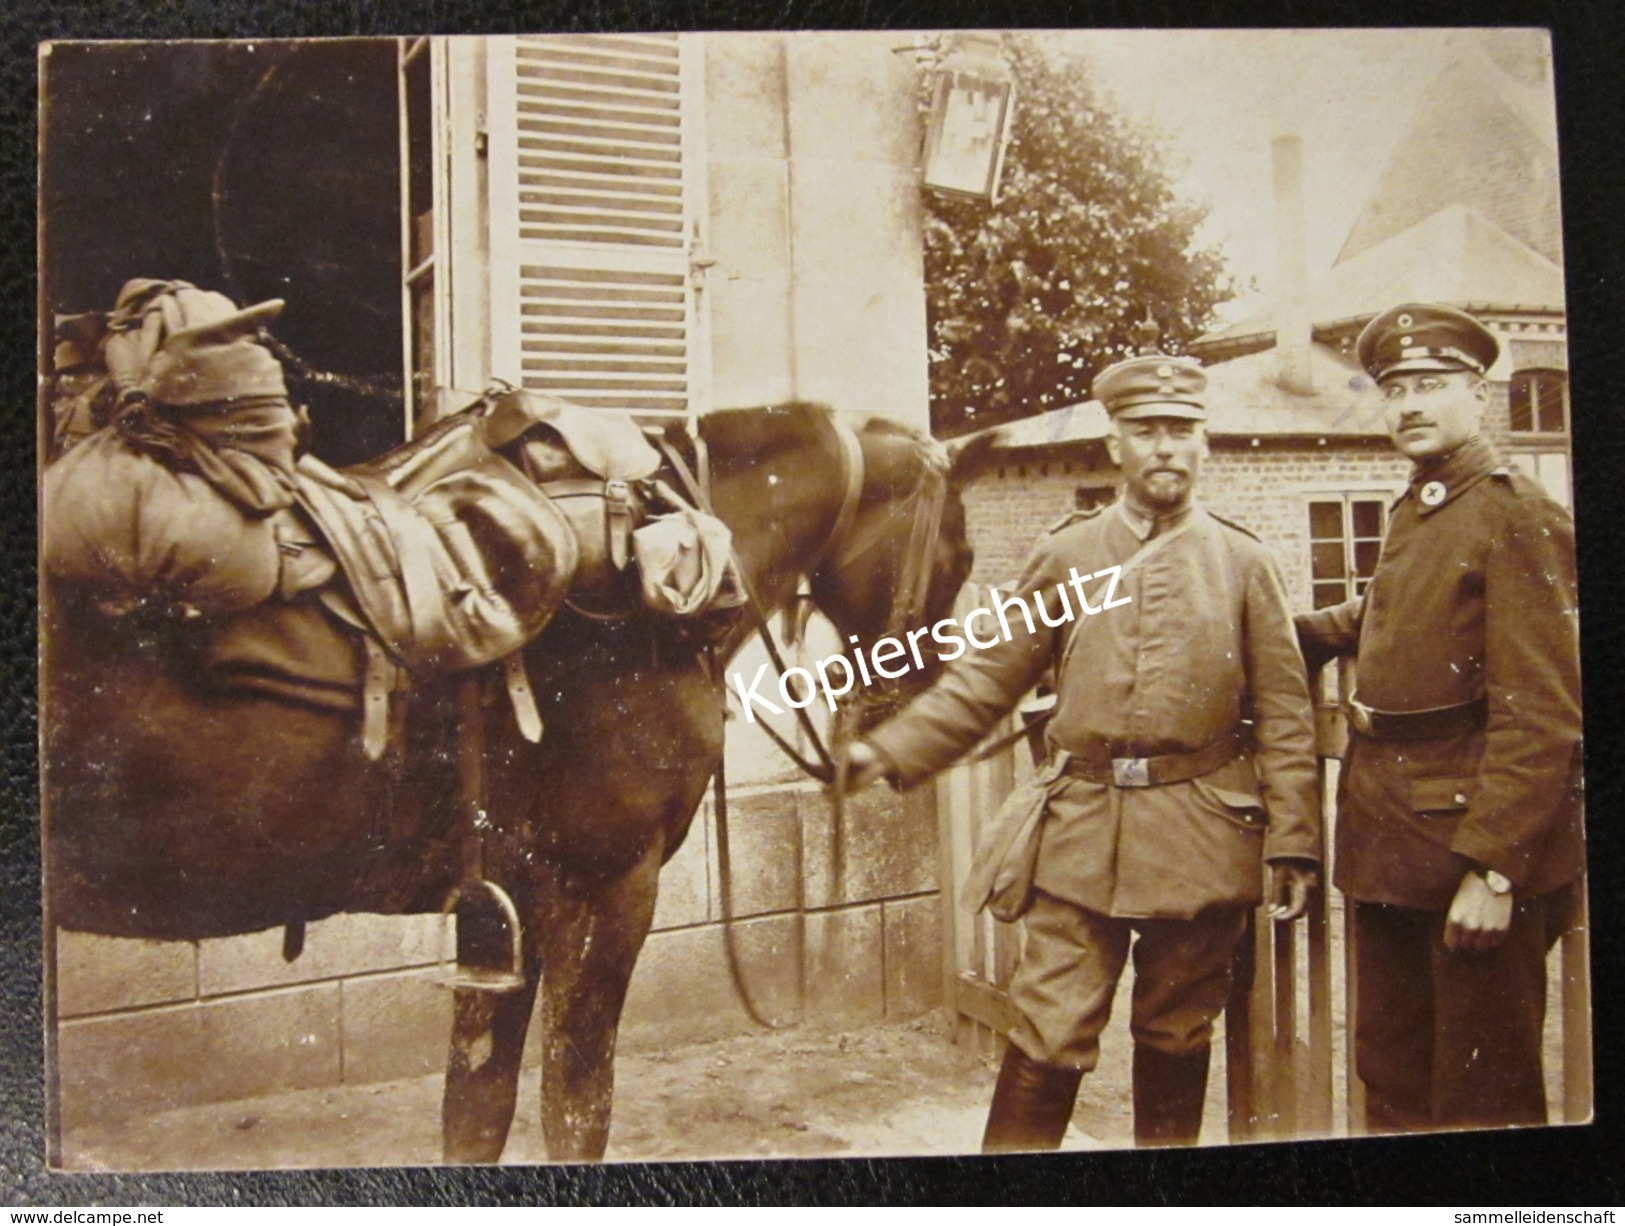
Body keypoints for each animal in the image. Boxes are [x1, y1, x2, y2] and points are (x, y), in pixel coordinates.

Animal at [41, 398, 975, 1157]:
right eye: (959, 555)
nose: (915, 713)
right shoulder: (606, 890)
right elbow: (574, 1108)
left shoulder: (499, 905)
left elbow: (475, 1108)